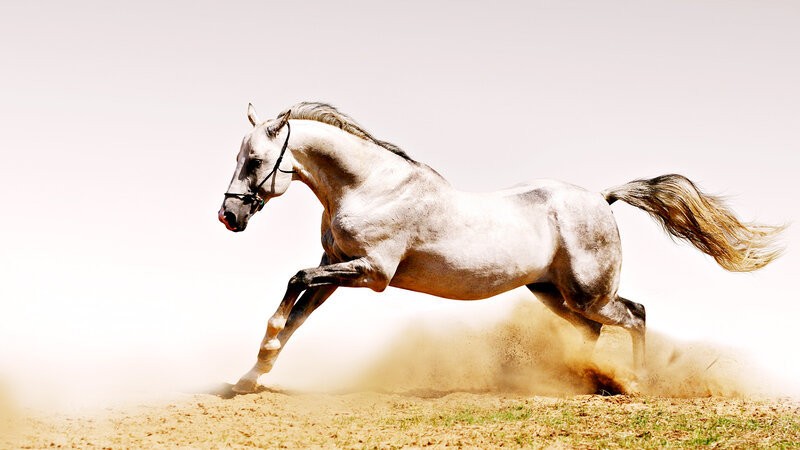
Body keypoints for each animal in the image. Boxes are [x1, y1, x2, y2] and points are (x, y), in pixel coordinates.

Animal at [219, 102, 784, 394]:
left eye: (255, 160)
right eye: (241, 157)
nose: (229, 216)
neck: (371, 185)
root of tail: (601, 199)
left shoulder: (371, 272)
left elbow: (293, 286)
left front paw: (256, 363)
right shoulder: (336, 264)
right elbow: (296, 315)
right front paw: (250, 377)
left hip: (589, 293)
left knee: (636, 314)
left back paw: (636, 383)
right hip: (552, 293)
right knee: (594, 331)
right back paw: (581, 381)